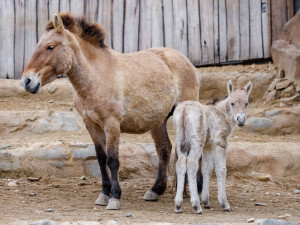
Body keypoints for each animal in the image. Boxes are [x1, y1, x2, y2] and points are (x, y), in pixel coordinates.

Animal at [20, 13, 199, 209]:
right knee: (164, 150)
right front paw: (104, 194)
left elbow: (112, 160)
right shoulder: (92, 125)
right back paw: (156, 190)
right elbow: (100, 158)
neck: (97, 76)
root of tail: (184, 60)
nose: (27, 81)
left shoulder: (111, 124)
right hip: (158, 122)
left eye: (50, 47)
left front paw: (115, 197)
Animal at [172, 80, 252, 214]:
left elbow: (206, 168)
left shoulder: (208, 145)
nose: (241, 120)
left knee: (180, 164)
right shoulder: (220, 142)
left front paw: (206, 201)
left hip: (180, 141)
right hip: (196, 142)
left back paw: (178, 205)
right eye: (232, 103)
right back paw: (196, 205)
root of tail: (184, 110)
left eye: (246, 103)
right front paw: (224, 203)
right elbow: (221, 169)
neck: (221, 113)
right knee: (191, 164)